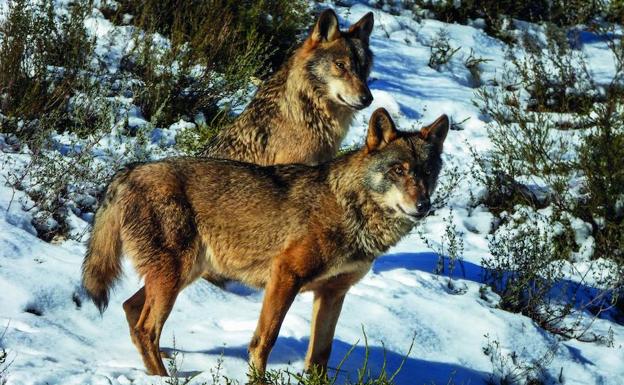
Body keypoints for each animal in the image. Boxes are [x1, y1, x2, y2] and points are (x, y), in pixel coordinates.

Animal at [81, 107, 448, 376]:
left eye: (427, 173)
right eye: (399, 170)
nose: (423, 206)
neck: (351, 209)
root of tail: (130, 170)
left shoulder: (333, 293)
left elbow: (321, 354)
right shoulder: (285, 275)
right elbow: (264, 341)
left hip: (183, 275)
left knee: (132, 310)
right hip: (175, 276)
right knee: (146, 328)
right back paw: (163, 377)